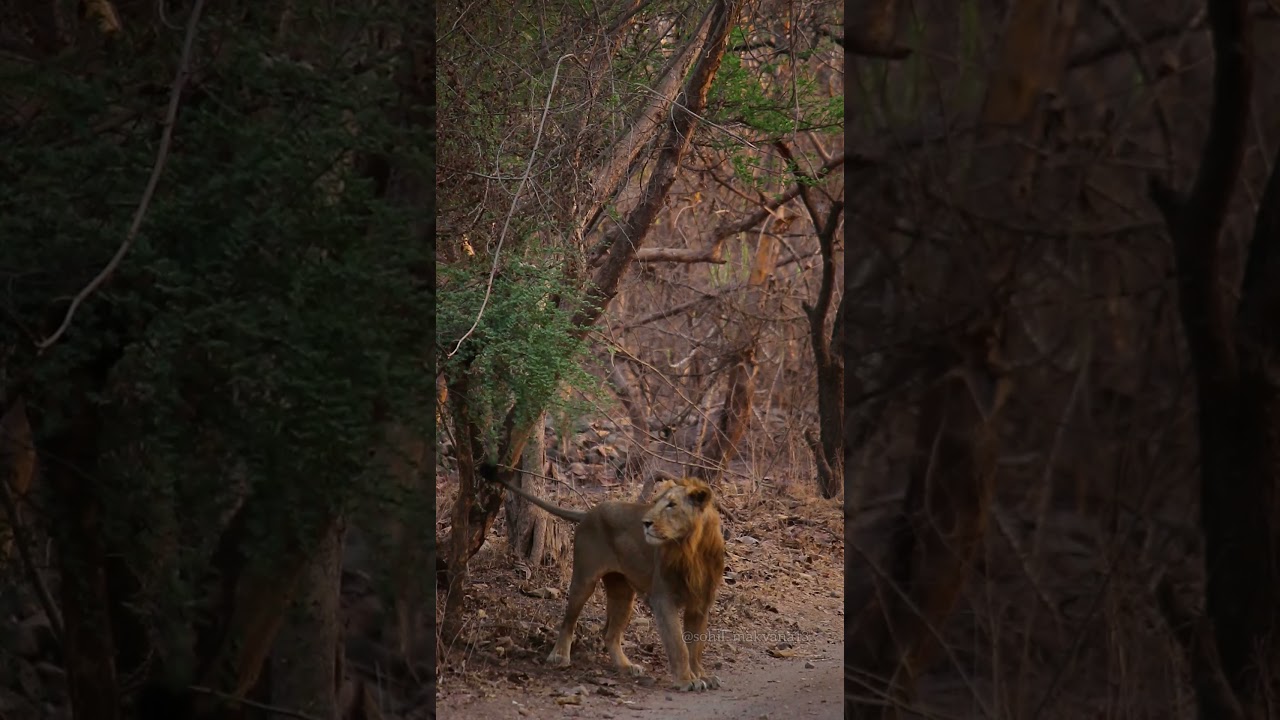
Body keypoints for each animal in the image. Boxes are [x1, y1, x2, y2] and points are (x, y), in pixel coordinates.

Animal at [496, 473, 726, 691]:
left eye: (672, 504)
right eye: (655, 502)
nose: (645, 523)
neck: (692, 549)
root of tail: (589, 512)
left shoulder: (700, 603)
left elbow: (696, 645)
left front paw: (701, 675)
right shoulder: (663, 598)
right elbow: (678, 645)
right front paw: (686, 680)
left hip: (623, 593)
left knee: (609, 634)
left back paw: (626, 666)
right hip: (584, 580)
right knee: (568, 621)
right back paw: (560, 656)